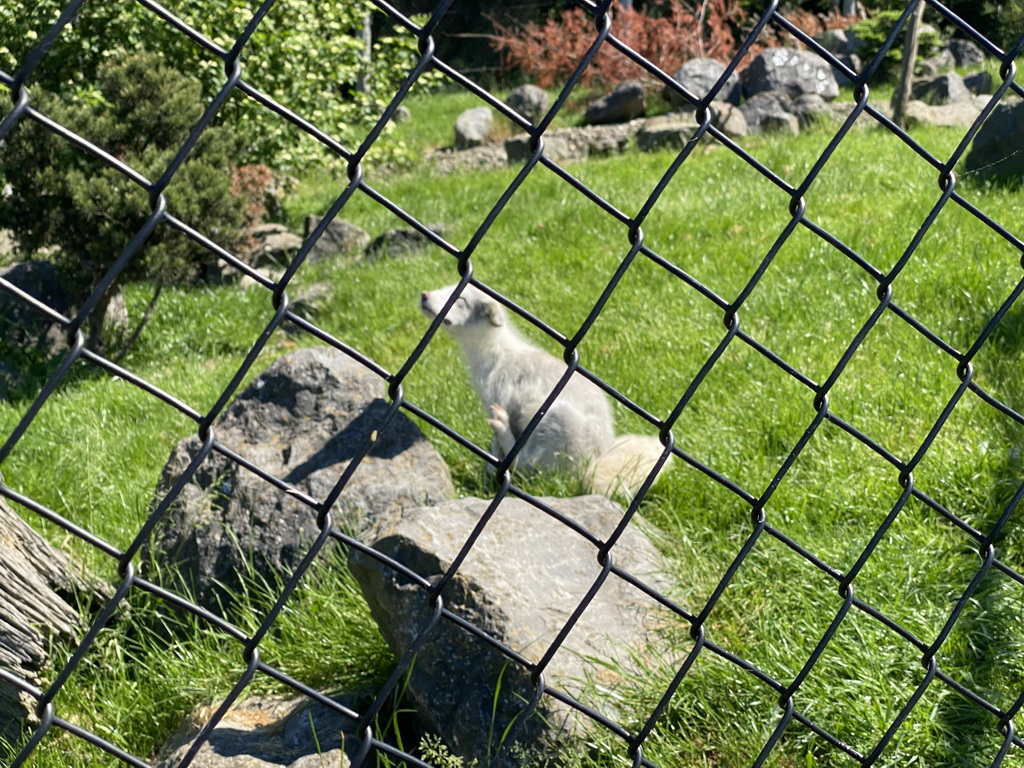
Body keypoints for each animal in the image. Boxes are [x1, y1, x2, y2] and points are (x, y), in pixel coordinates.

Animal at [419, 284, 667, 499]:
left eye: (460, 300)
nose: (424, 295)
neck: (496, 353)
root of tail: (591, 464)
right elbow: (494, 449)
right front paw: (488, 474)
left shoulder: (501, 399)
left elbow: (499, 450)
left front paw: (491, 471)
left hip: (555, 420)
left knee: (526, 468)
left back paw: (502, 426)